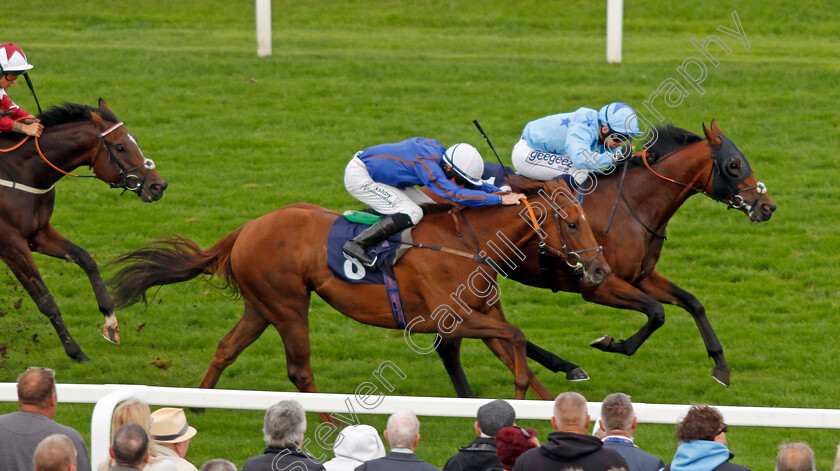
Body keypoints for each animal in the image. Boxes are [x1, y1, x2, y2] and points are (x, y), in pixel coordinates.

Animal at [0, 99, 167, 362]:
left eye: (136, 140)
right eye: (120, 147)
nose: (158, 186)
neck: (19, 172)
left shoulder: (38, 234)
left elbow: (86, 258)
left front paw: (111, 325)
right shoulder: (11, 245)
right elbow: (46, 300)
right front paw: (76, 352)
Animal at [110, 179, 612, 408]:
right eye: (572, 223)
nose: (601, 268)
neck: (468, 243)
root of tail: (247, 228)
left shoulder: (482, 315)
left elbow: (514, 345)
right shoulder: (445, 318)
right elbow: (517, 337)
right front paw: (522, 391)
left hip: (260, 306)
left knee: (225, 349)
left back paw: (201, 405)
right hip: (288, 305)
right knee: (299, 370)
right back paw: (327, 426)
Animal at [436, 120, 776, 392]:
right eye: (734, 165)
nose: (767, 207)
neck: (633, 204)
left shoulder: (641, 276)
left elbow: (693, 303)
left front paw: (721, 367)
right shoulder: (598, 285)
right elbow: (657, 313)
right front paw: (612, 343)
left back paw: (567, 367)